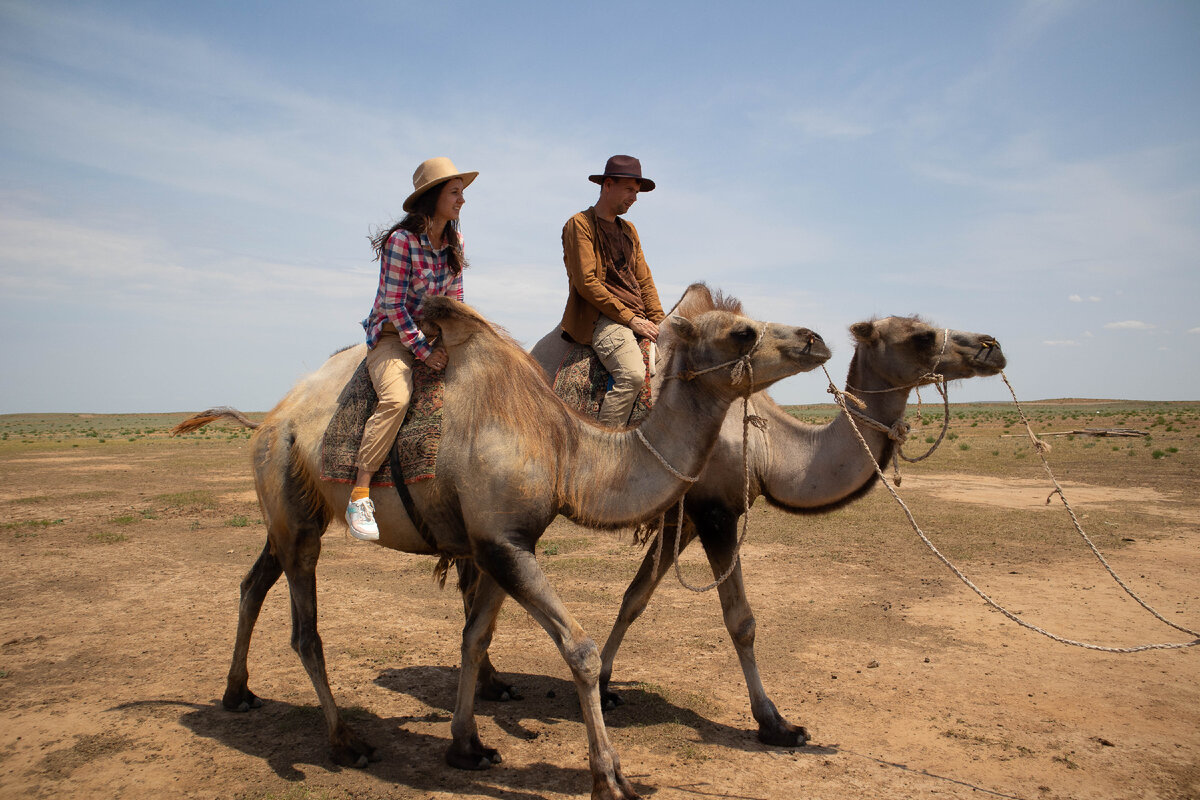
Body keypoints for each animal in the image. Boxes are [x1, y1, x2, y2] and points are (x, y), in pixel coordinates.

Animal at [169, 296, 830, 800]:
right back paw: (346, 743)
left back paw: (238, 694)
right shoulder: (504, 543)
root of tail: (267, 420)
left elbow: (474, 637)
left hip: (287, 513)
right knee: (305, 630)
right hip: (296, 513)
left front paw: (467, 746)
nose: (816, 338)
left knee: (255, 581)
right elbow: (580, 649)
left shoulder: (498, 544)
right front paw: (610, 779)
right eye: (742, 331)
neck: (565, 450)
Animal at [530, 284, 1008, 748]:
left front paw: (607, 686)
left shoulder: (684, 520)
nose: (993, 346)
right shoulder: (716, 513)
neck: (769, 450)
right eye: (921, 336)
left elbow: (635, 598)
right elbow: (741, 621)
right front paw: (776, 723)